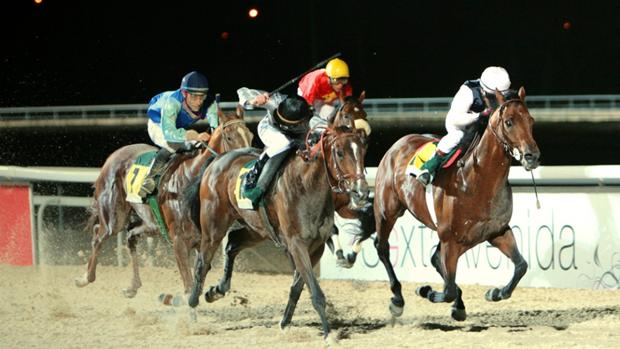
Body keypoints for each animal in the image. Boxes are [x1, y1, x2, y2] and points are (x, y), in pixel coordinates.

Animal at [74, 106, 253, 296]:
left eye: (250, 135)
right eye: (229, 137)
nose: (247, 164)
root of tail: (112, 156)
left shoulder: (202, 241)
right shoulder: (179, 242)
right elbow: (189, 285)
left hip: (152, 224)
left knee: (130, 235)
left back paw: (132, 286)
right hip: (114, 217)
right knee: (98, 235)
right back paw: (85, 278)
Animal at [184, 117, 368, 340]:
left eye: (362, 150)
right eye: (340, 152)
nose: (361, 192)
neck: (307, 185)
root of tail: (218, 160)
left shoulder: (316, 246)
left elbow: (298, 286)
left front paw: (284, 322)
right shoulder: (296, 244)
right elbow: (315, 291)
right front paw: (328, 334)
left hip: (257, 228)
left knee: (233, 243)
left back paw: (216, 290)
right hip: (214, 224)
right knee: (203, 261)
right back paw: (192, 305)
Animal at [372, 87, 536, 320]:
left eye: (531, 121)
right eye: (509, 122)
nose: (532, 156)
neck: (479, 180)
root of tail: (398, 144)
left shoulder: (497, 231)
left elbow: (521, 265)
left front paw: (495, 292)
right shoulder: (451, 239)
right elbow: (447, 290)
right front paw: (426, 291)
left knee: (434, 259)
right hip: (387, 210)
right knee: (383, 247)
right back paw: (397, 298)